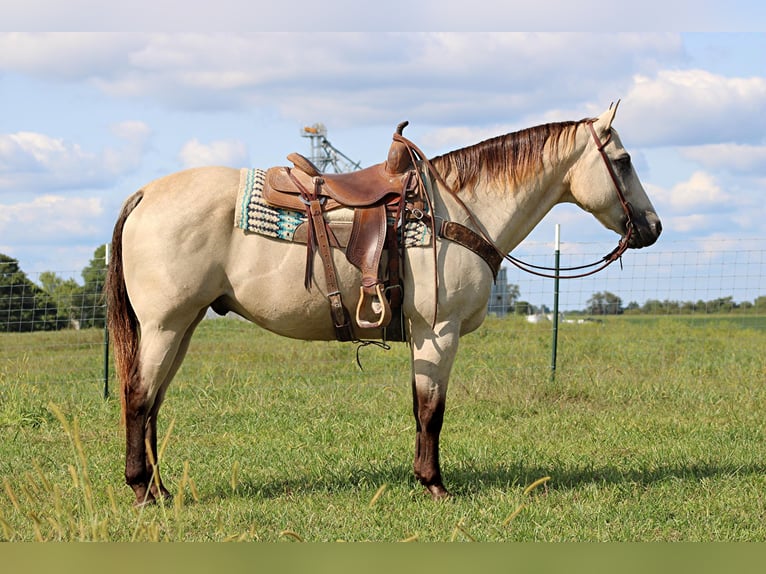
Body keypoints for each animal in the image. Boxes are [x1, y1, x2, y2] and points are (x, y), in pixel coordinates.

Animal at [105, 104, 664, 508]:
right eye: (623, 161)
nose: (654, 227)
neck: (460, 212)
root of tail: (145, 193)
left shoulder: (424, 334)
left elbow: (419, 408)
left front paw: (422, 477)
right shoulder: (438, 331)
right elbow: (432, 410)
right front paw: (435, 484)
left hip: (182, 327)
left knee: (154, 403)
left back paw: (162, 489)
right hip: (165, 325)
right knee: (138, 397)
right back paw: (142, 490)